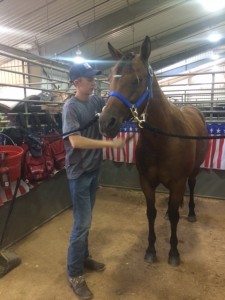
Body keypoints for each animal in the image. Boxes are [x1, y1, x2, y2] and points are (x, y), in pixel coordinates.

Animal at [99, 36, 208, 266]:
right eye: (111, 77)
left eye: (137, 80)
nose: (105, 122)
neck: (163, 139)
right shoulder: (146, 182)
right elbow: (151, 213)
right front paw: (150, 249)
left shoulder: (177, 182)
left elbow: (175, 217)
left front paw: (173, 252)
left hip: (194, 171)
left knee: (192, 186)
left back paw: (191, 212)